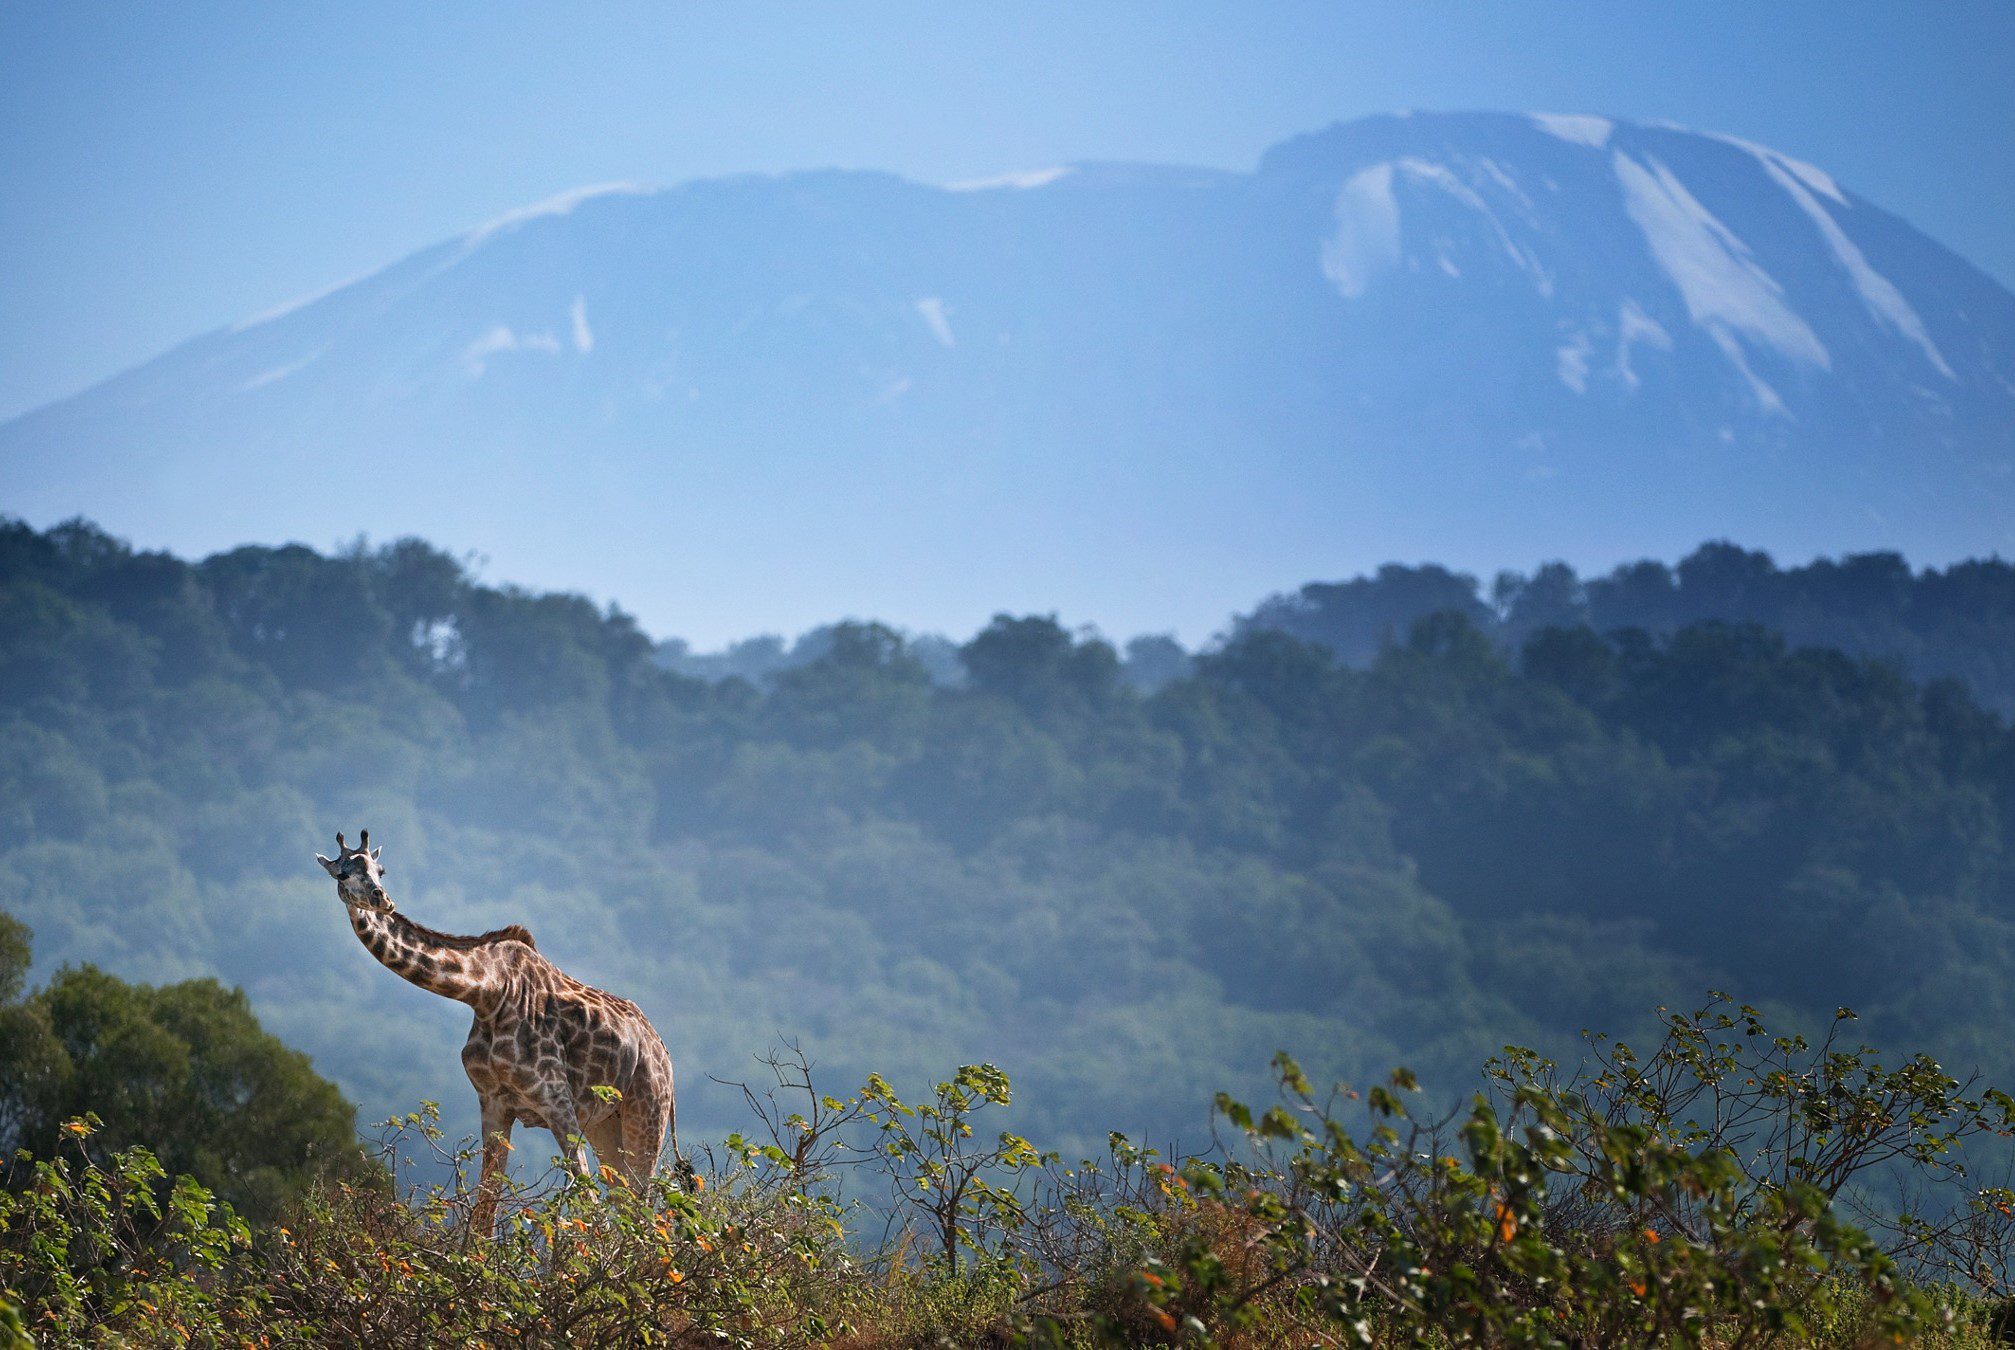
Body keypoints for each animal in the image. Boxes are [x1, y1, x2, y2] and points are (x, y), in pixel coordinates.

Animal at [316, 829, 684, 1233]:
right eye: (342, 874)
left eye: (380, 870)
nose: (381, 900)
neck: (488, 992)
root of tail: (665, 1055)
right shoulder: (493, 1103)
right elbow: (484, 1211)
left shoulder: (556, 1100)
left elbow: (587, 1206)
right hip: (607, 1125)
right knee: (629, 1208)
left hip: (646, 1114)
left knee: (642, 1212)